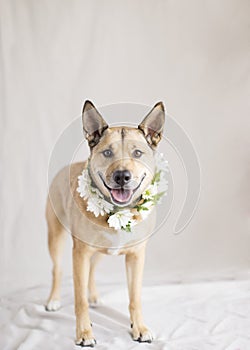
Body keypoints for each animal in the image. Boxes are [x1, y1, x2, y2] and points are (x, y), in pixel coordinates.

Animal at [45, 100, 165, 346]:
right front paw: (84, 333)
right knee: (57, 269)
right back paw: (53, 300)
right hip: (55, 237)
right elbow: (79, 300)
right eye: (107, 153)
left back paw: (93, 296)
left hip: (99, 251)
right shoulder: (79, 253)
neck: (118, 211)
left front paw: (139, 327)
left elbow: (135, 297)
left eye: (137, 153)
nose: (122, 176)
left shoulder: (136, 256)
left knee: (91, 270)